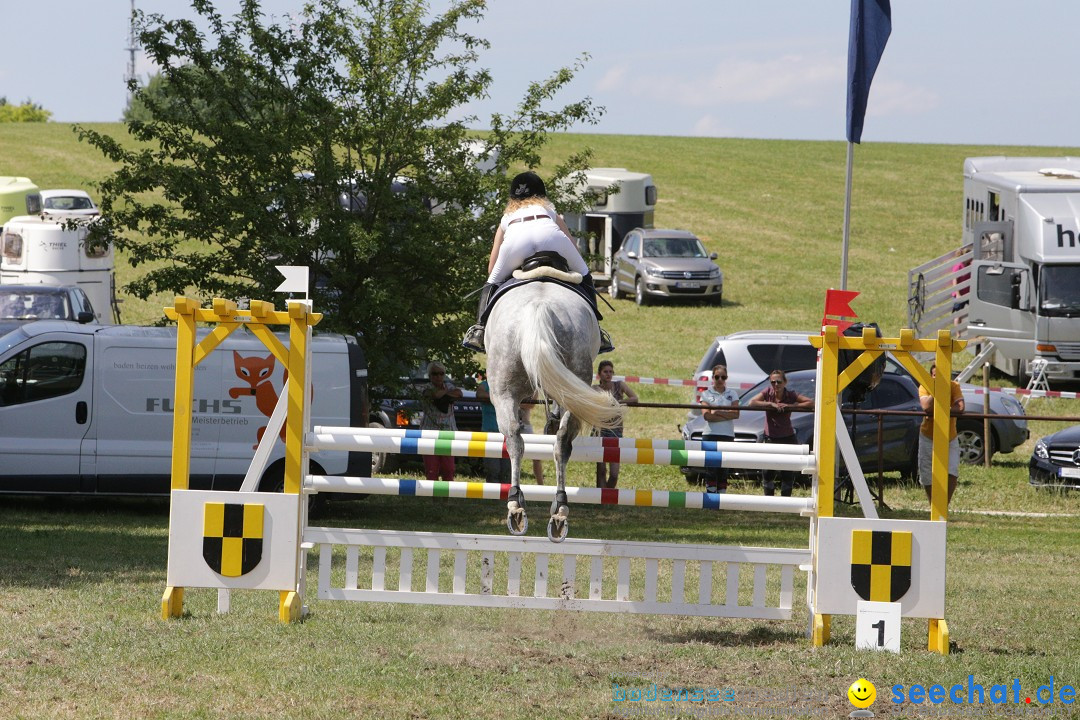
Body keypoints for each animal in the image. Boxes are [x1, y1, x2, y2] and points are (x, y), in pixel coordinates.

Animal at [483, 280, 626, 539]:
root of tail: (540, 307)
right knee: (557, 442)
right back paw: (555, 509)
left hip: (502, 392)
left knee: (515, 439)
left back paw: (519, 506)